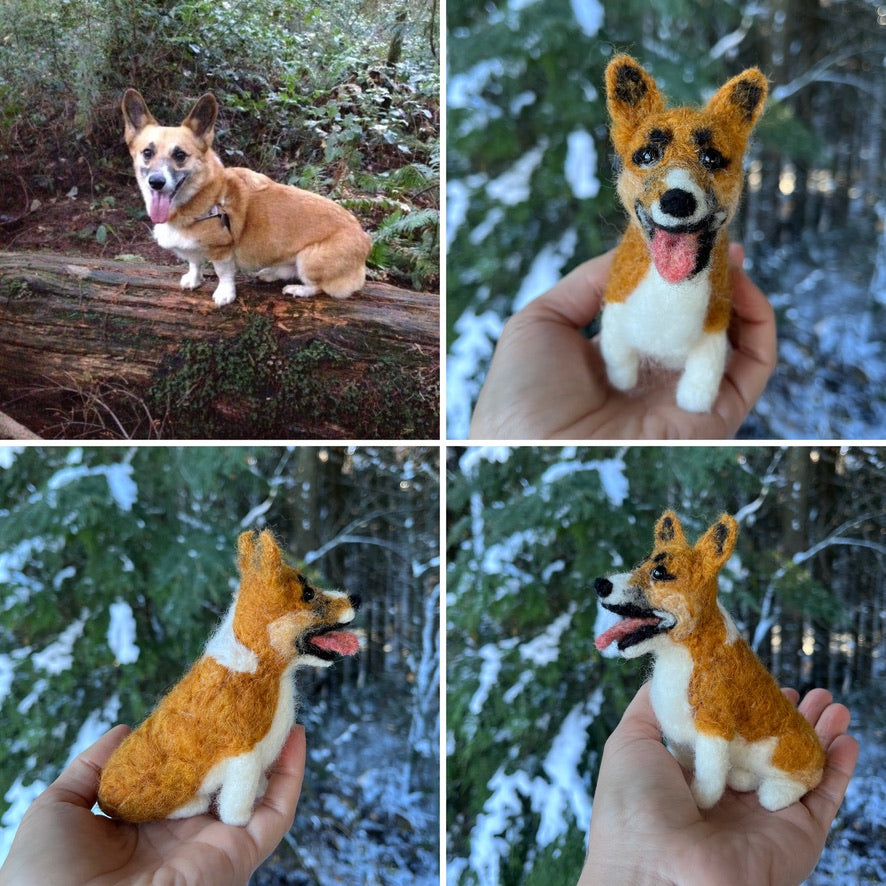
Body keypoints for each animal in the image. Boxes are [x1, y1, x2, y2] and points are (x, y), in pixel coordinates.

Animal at [97, 532, 360, 828]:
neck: (264, 668)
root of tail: (104, 797)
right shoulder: (243, 756)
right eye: (308, 594)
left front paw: (262, 790)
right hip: (174, 780)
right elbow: (236, 802)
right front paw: (240, 821)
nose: (356, 598)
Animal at [121, 88, 372, 306]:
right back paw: (270, 273)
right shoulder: (194, 250)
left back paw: (297, 289)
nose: (156, 182)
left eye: (180, 155)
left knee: (318, 286)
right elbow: (194, 263)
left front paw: (225, 294)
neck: (207, 200)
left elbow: (223, 273)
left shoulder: (222, 249)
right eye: (147, 153)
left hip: (309, 258)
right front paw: (193, 280)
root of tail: (365, 239)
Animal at [596, 512, 824, 812]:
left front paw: (698, 801)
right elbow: (683, 755)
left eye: (659, 573)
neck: (684, 655)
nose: (600, 584)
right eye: (642, 562)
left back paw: (776, 791)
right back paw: (742, 777)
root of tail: (823, 758)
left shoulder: (713, 728)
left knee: (795, 784)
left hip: (787, 752)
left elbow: (709, 777)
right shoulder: (677, 731)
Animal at [604, 57, 772, 414]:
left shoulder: (715, 323)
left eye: (711, 158)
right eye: (646, 155)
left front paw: (694, 399)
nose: (677, 200)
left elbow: (705, 370)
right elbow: (616, 354)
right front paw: (623, 382)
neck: (671, 290)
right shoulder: (615, 303)